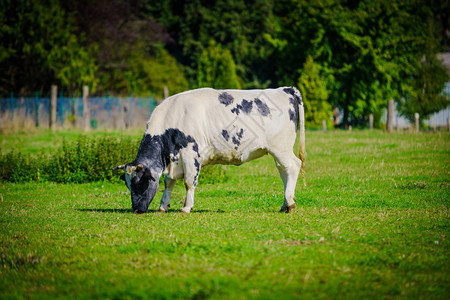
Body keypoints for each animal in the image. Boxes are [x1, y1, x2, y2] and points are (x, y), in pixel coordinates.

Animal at [114, 86, 308, 213]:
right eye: (127, 184)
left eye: (140, 182)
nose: (136, 209)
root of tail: (286, 89)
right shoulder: (174, 160)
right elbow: (169, 182)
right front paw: (163, 206)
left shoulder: (190, 154)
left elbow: (188, 182)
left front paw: (186, 207)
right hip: (277, 151)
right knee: (284, 172)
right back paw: (284, 205)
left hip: (281, 148)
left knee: (293, 166)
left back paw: (290, 204)